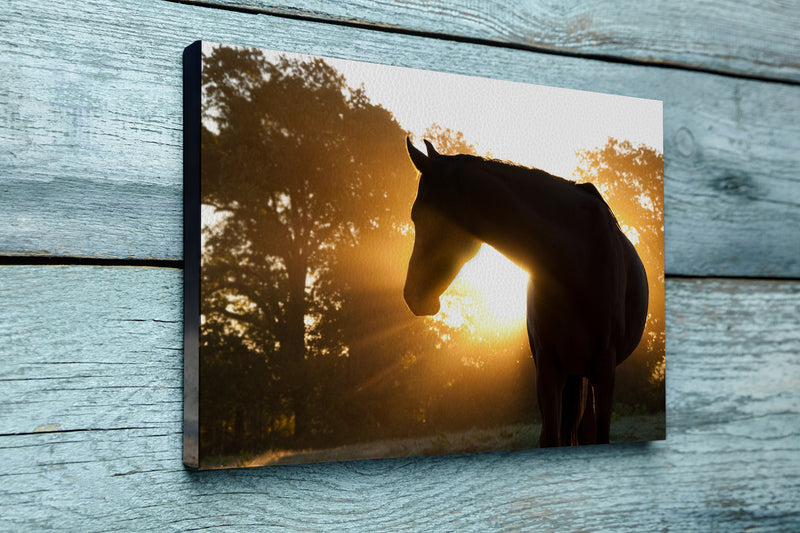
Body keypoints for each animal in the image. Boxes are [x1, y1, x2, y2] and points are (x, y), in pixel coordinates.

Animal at [404, 137, 648, 444]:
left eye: (418, 216)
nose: (411, 296)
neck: (577, 264)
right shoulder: (547, 367)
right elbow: (550, 438)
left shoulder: (604, 369)